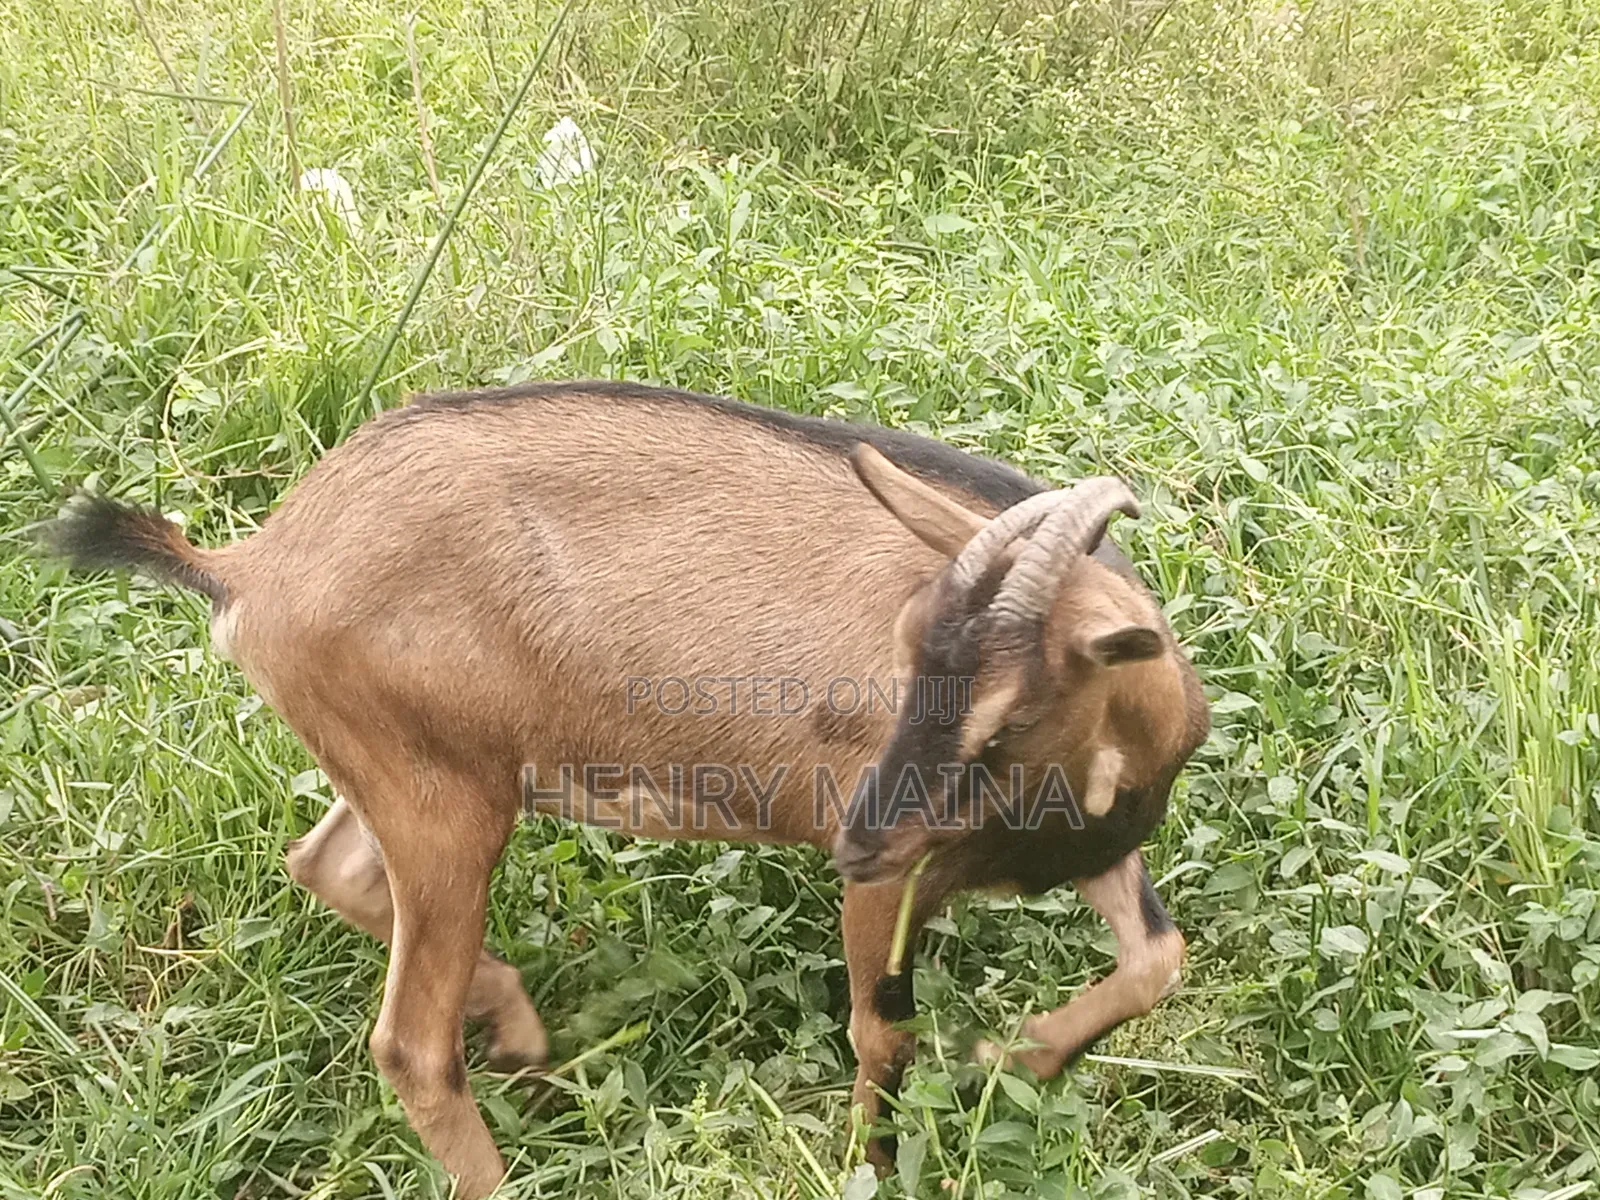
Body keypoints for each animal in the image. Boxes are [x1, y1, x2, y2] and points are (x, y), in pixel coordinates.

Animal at [42, 381, 1210, 1196]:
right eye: (904, 654)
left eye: (1005, 716)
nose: (855, 839)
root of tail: (255, 566)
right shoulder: (898, 873)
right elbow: (885, 1032)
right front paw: (878, 1163)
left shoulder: (1081, 844)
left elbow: (1159, 957)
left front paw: (1028, 1053)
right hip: (444, 802)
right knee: (408, 1041)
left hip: (413, 770)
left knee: (324, 863)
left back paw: (522, 1036)